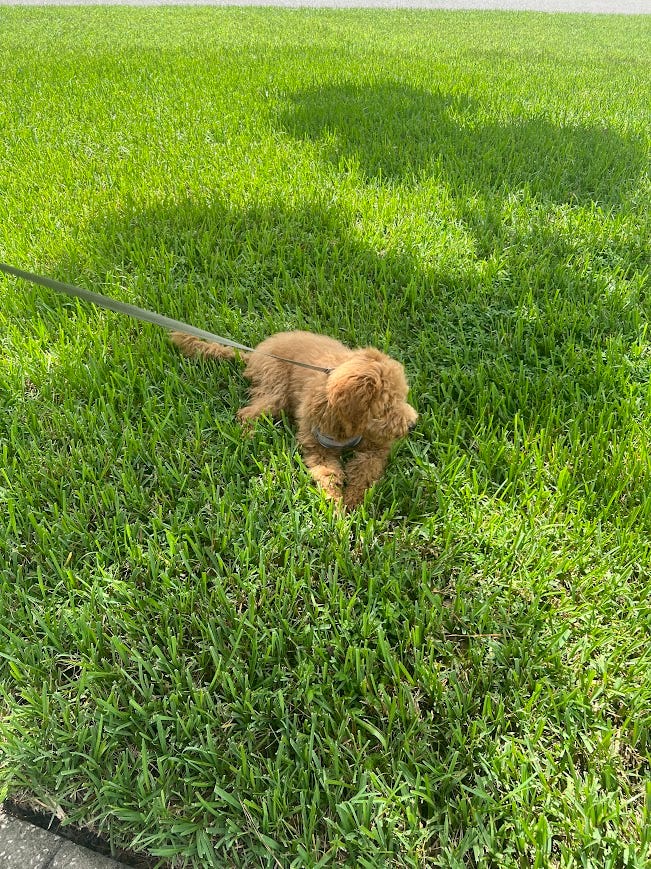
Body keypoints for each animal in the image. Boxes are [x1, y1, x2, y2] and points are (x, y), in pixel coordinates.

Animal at [171, 332, 418, 508]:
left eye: (403, 396)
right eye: (387, 407)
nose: (413, 425)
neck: (348, 427)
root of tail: (256, 353)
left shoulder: (375, 448)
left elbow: (366, 471)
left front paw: (352, 501)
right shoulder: (317, 446)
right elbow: (328, 474)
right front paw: (335, 505)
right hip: (275, 388)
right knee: (247, 413)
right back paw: (248, 436)